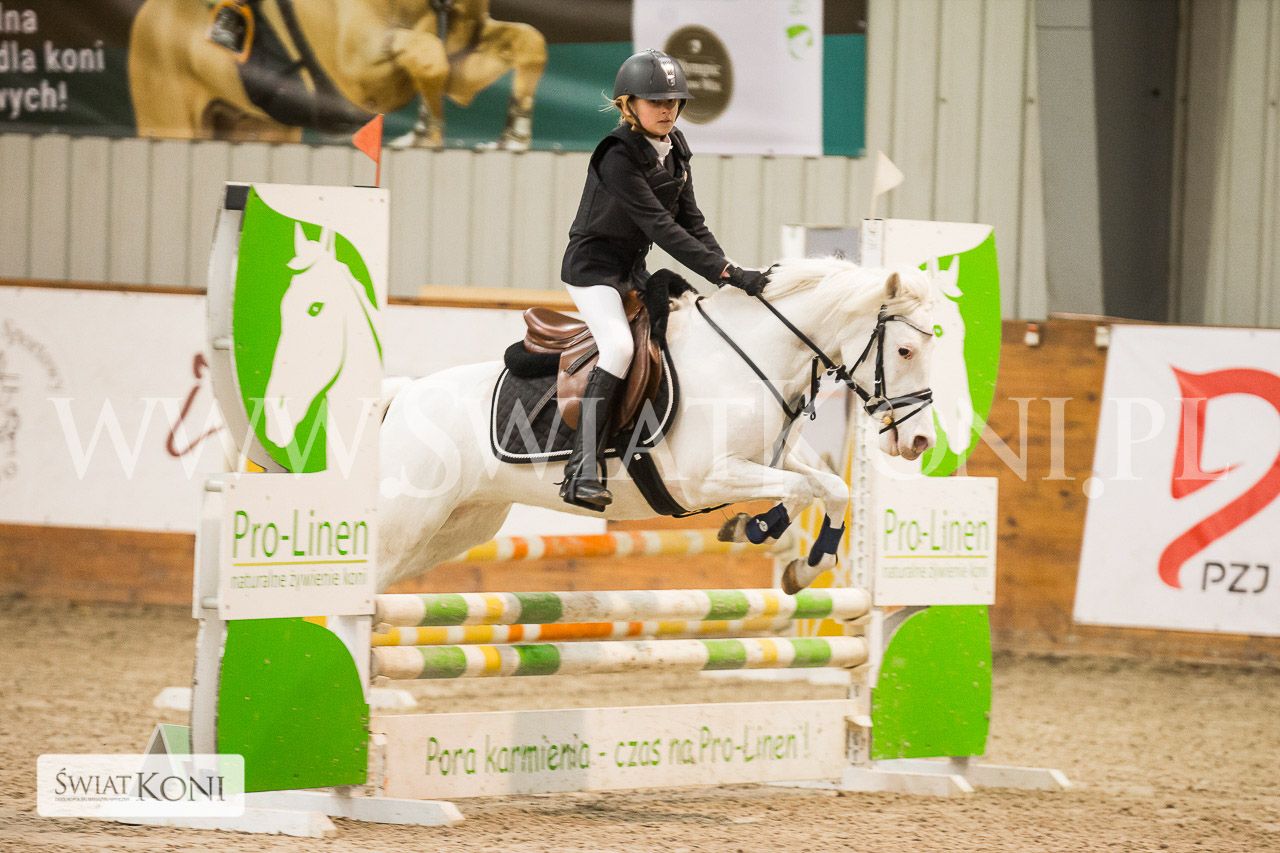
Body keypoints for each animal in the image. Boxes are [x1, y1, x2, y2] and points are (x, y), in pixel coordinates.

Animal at [128, 0, 545, 148]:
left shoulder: (462, 64)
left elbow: (531, 41)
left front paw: (515, 135)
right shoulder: (358, 74)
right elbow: (428, 55)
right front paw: (424, 134)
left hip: (258, 125)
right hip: (170, 119)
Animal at [377, 257, 939, 595]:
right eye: (905, 350)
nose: (918, 441)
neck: (751, 356)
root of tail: (403, 394)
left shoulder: (771, 459)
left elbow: (831, 487)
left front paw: (803, 566)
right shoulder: (706, 479)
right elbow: (801, 490)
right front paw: (753, 527)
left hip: (458, 527)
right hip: (406, 522)